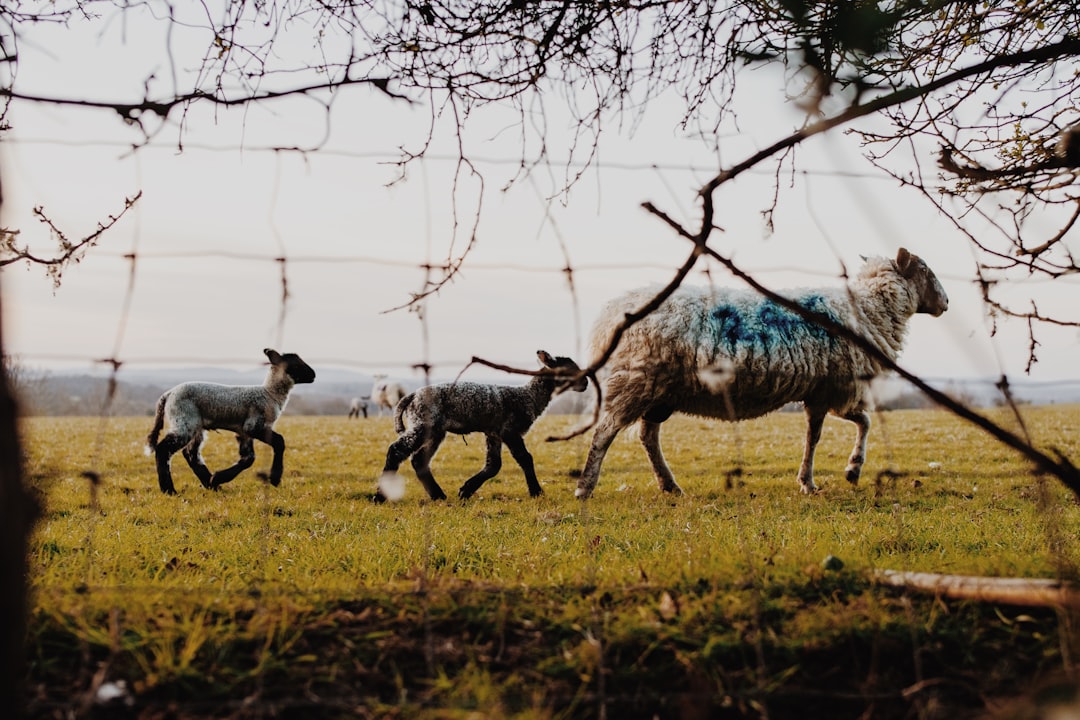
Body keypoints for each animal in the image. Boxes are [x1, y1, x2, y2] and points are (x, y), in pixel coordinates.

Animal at [143, 349, 315, 496]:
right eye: (296, 365)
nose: (313, 375)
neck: (269, 394)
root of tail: (168, 394)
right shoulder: (254, 425)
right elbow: (279, 442)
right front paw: (275, 478)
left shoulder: (244, 431)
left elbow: (248, 458)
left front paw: (218, 477)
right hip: (184, 420)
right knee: (163, 449)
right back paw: (169, 490)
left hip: (196, 425)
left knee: (191, 453)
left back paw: (212, 484)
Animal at [373, 349, 591, 500]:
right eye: (568, 369)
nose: (586, 383)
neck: (528, 397)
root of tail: (412, 396)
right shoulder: (510, 430)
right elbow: (525, 458)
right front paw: (537, 492)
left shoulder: (493, 432)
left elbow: (494, 465)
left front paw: (466, 490)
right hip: (423, 423)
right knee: (396, 450)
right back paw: (379, 497)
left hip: (435, 430)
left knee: (419, 460)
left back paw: (438, 495)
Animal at [574, 245, 946, 498]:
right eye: (925, 269)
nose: (945, 303)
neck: (869, 310)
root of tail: (610, 314)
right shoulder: (834, 387)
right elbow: (831, 432)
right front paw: (831, 476)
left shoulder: (824, 390)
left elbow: (846, 426)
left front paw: (835, 474)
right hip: (637, 380)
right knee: (605, 433)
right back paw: (585, 488)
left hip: (659, 391)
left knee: (647, 436)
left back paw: (669, 485)